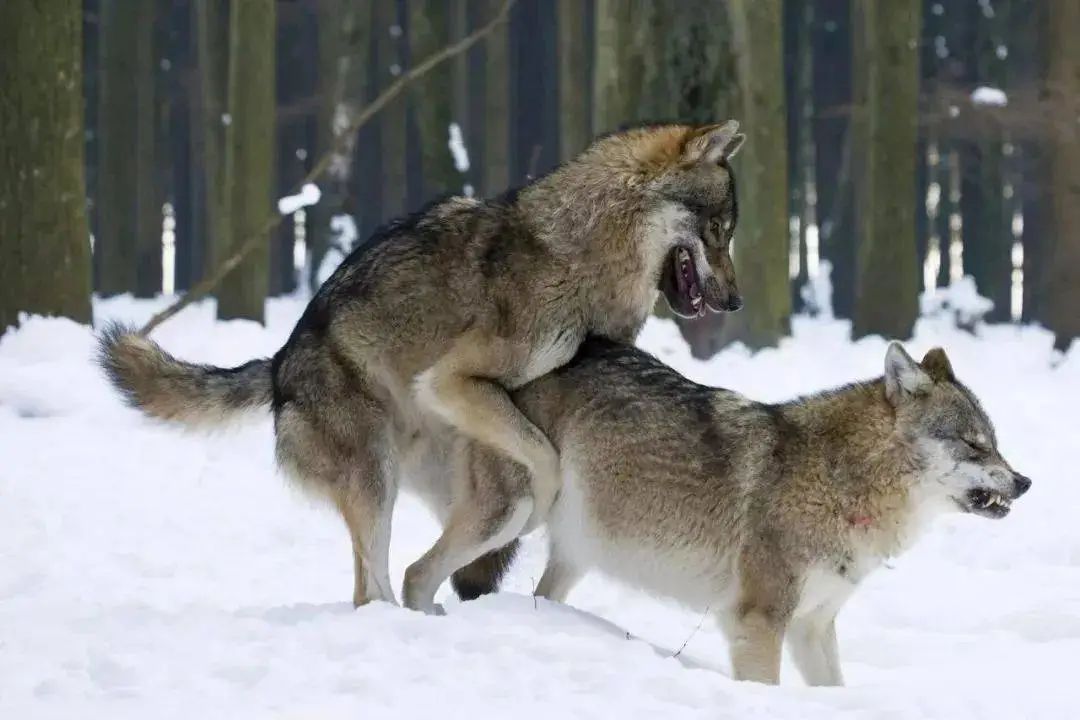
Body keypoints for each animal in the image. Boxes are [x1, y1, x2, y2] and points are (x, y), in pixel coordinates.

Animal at [97, 122, 747, 608]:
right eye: (717, 230)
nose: (737, 303)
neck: (580, 252)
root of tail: (279, 363)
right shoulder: (450, 381)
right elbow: (544, 459)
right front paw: (546, 499)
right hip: (375, 477)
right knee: (374, 585)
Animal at [444, 338, 1028, 686]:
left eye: (996, 444)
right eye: (975, 445)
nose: (1025, 483)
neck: (840, 481)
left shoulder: (813, 628)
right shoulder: (759, 622)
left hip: (575, 553)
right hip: (511, 517)